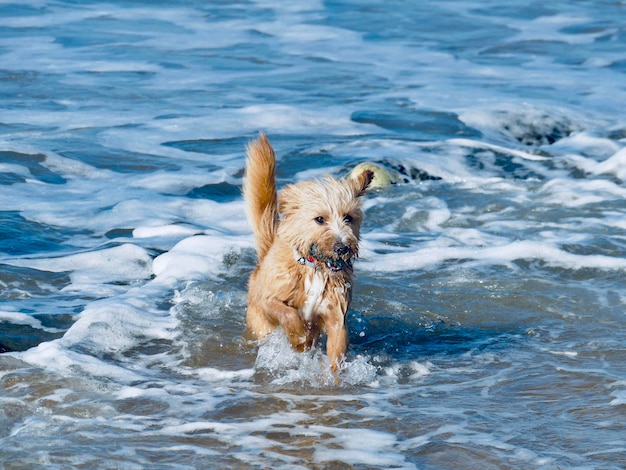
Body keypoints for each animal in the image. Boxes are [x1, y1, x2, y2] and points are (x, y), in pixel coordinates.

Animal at [243, 134, 370, 372]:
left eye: (348, 217)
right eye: (319, 219)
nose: (342, 248)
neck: (314, 269)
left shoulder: (336, 317)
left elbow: (336, 354)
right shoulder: (268, 300)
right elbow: (288, 313)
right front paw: (299, 338)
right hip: (260, 323)